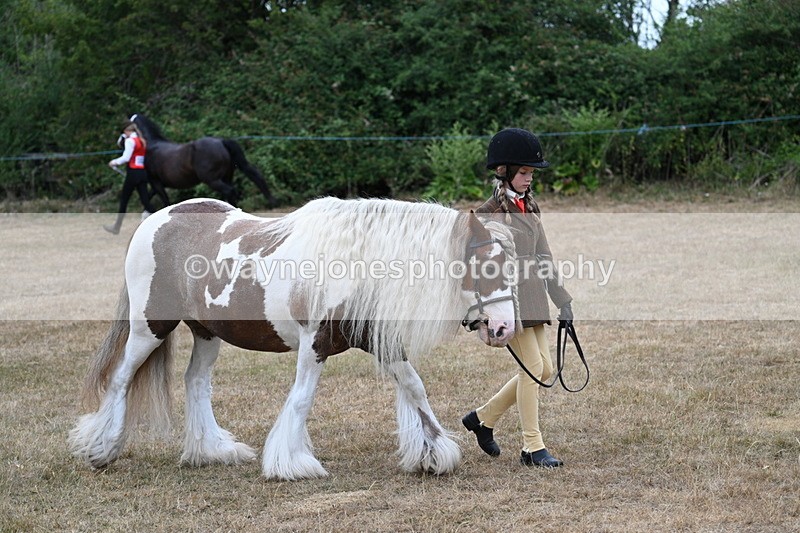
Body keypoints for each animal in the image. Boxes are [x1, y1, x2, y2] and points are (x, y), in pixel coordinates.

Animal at [68, 196, 519, 480]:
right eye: (486, 266)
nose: (504, 329)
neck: (354, 263)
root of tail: (153, 221)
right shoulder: (313, 343)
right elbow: (302, 399)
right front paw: (292, 463)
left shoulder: (378, 341)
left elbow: (415, 387)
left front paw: (433, 454)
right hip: (151, 327)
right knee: (121, 378)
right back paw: (102, 449)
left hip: (207, 334)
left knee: (195, 383)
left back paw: (211, 451)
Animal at [130, 114, 278, 208]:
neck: (152, 145)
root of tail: (221, 141)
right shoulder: (159, 184)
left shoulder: (155, 182)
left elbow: (164, 202)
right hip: (226, 177)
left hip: (212, 180)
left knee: (230, 191)